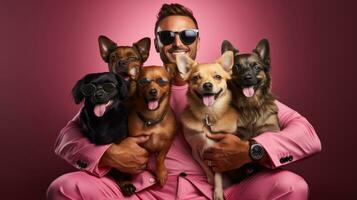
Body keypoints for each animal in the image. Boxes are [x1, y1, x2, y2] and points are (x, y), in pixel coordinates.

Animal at [176, 51, 238, 200]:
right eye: (196, 78)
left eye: (218, 77)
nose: (207, 85)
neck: (207, 116)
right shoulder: (195, 150)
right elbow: (204, 166)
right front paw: (210, 179)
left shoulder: (219, 153)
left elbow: (218, 174)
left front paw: (218, 192)